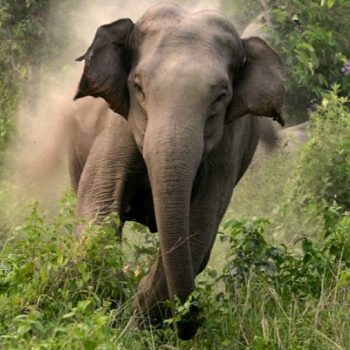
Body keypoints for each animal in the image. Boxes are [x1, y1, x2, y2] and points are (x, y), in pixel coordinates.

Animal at [72, 4, 284, 340]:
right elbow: (99, 206)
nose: (191, 324)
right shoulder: (117, 125)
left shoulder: (226, 148)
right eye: (138, 87)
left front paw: (139, 322)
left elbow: (199, 227)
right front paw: (113, 306)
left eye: (221, 96)